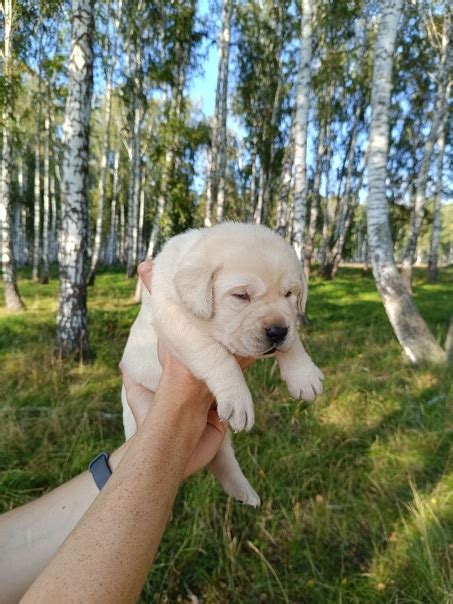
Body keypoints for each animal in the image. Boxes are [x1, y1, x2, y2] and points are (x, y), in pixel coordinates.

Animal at [120, 222, 324, 504]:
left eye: (289, 294)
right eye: (241, 295)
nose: (276, 331)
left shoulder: (289, 322)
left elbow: (294, 339)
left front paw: (304, 375)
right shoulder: (174, 317)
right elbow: (215, 354)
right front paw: (238, 398)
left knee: (223, 458)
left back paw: (244, 492)